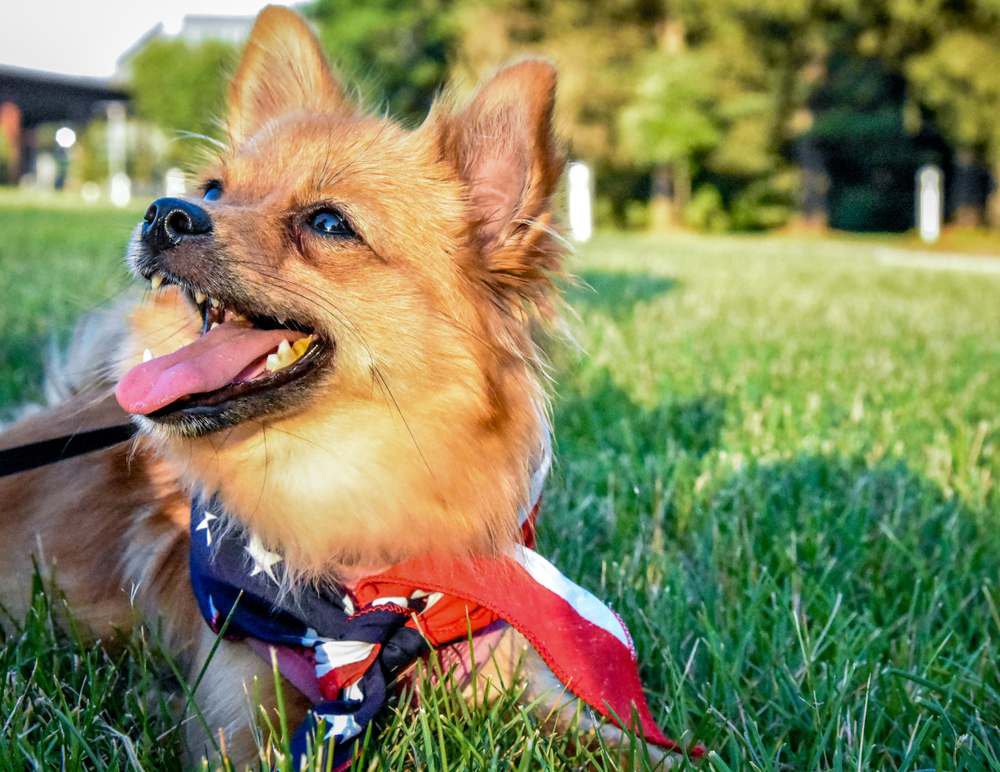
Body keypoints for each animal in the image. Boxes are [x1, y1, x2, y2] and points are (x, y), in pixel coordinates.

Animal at [0, 4, 696, 764]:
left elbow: (643, 752)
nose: (164, 211)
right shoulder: (237, 709)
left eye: (329, 223)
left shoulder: (516, 668)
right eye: (213, 190)